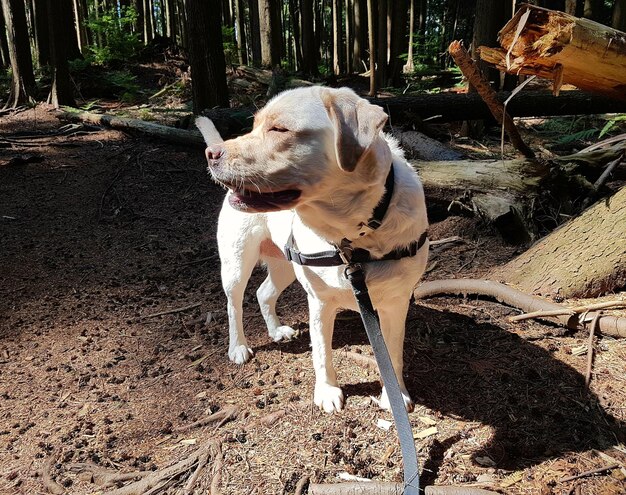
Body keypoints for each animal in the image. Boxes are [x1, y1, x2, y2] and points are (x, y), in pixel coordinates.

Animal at [197, 87, 426, 412]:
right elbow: (321, 353)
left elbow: (394, 354)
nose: (212, 154)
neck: (353, 236)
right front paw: (327, 392)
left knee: (263, 293)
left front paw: (396, 396)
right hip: (236, 264)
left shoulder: (396, 303)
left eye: (279, 129)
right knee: (234, 305)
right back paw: (238, 347)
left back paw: (276, 330)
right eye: (254, 126)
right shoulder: (320, 301)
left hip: (285, 265)